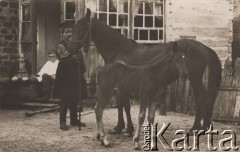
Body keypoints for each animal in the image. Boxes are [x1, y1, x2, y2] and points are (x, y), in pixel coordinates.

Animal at [71, 8, 221, 147]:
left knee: (201, 98)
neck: (120, 49)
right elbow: (122, 106)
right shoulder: (122, 87)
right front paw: (121, 128)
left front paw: (127, 129)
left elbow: (124, 106)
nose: (71, 46)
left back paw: (195, 128)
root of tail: (204, 47)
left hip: (194, 78)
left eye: (83, 26)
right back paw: (205, 127)